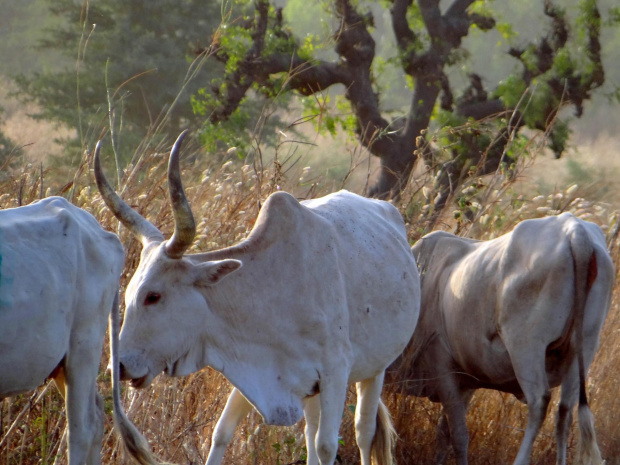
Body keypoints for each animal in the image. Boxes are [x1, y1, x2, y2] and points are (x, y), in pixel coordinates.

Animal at [93, 130, 422, 464]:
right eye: (128, 294)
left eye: (154, 296)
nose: (118, 367)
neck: (270, 292)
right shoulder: (252, 368)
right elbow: (221, 433)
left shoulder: (335, 373)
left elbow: (328, 445)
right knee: (310, 432)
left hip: (376, 368)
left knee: (363, 433)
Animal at [390, 214, 612, 464]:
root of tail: (574, 230)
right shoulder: (465, 382)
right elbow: (445, 435)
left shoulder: (444, 369)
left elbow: (458, 434)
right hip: (583, 348)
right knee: (564, 412)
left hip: (527, 346)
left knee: (540, 402)